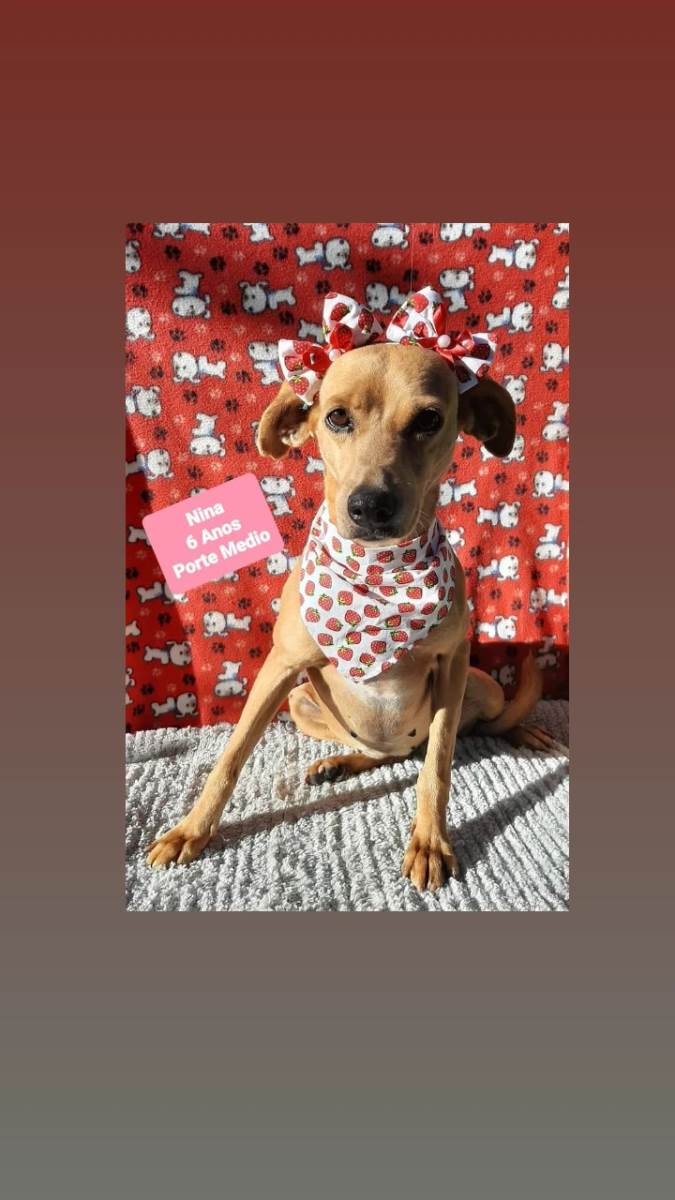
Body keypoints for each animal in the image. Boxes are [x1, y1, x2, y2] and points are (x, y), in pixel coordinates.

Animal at [148, 342, 554, 890]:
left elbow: (438, 764)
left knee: (474, 727)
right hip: (301, 700)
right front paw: (191, 831)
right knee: (383, 753)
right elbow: (232, 754)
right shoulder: (280, 666)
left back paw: (521, 731)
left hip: (481, 683)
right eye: (337, 417)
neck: (380, 576)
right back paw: (339, 763)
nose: (371, 506)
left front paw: (430, 842)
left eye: (429, 419)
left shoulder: (453, 663)